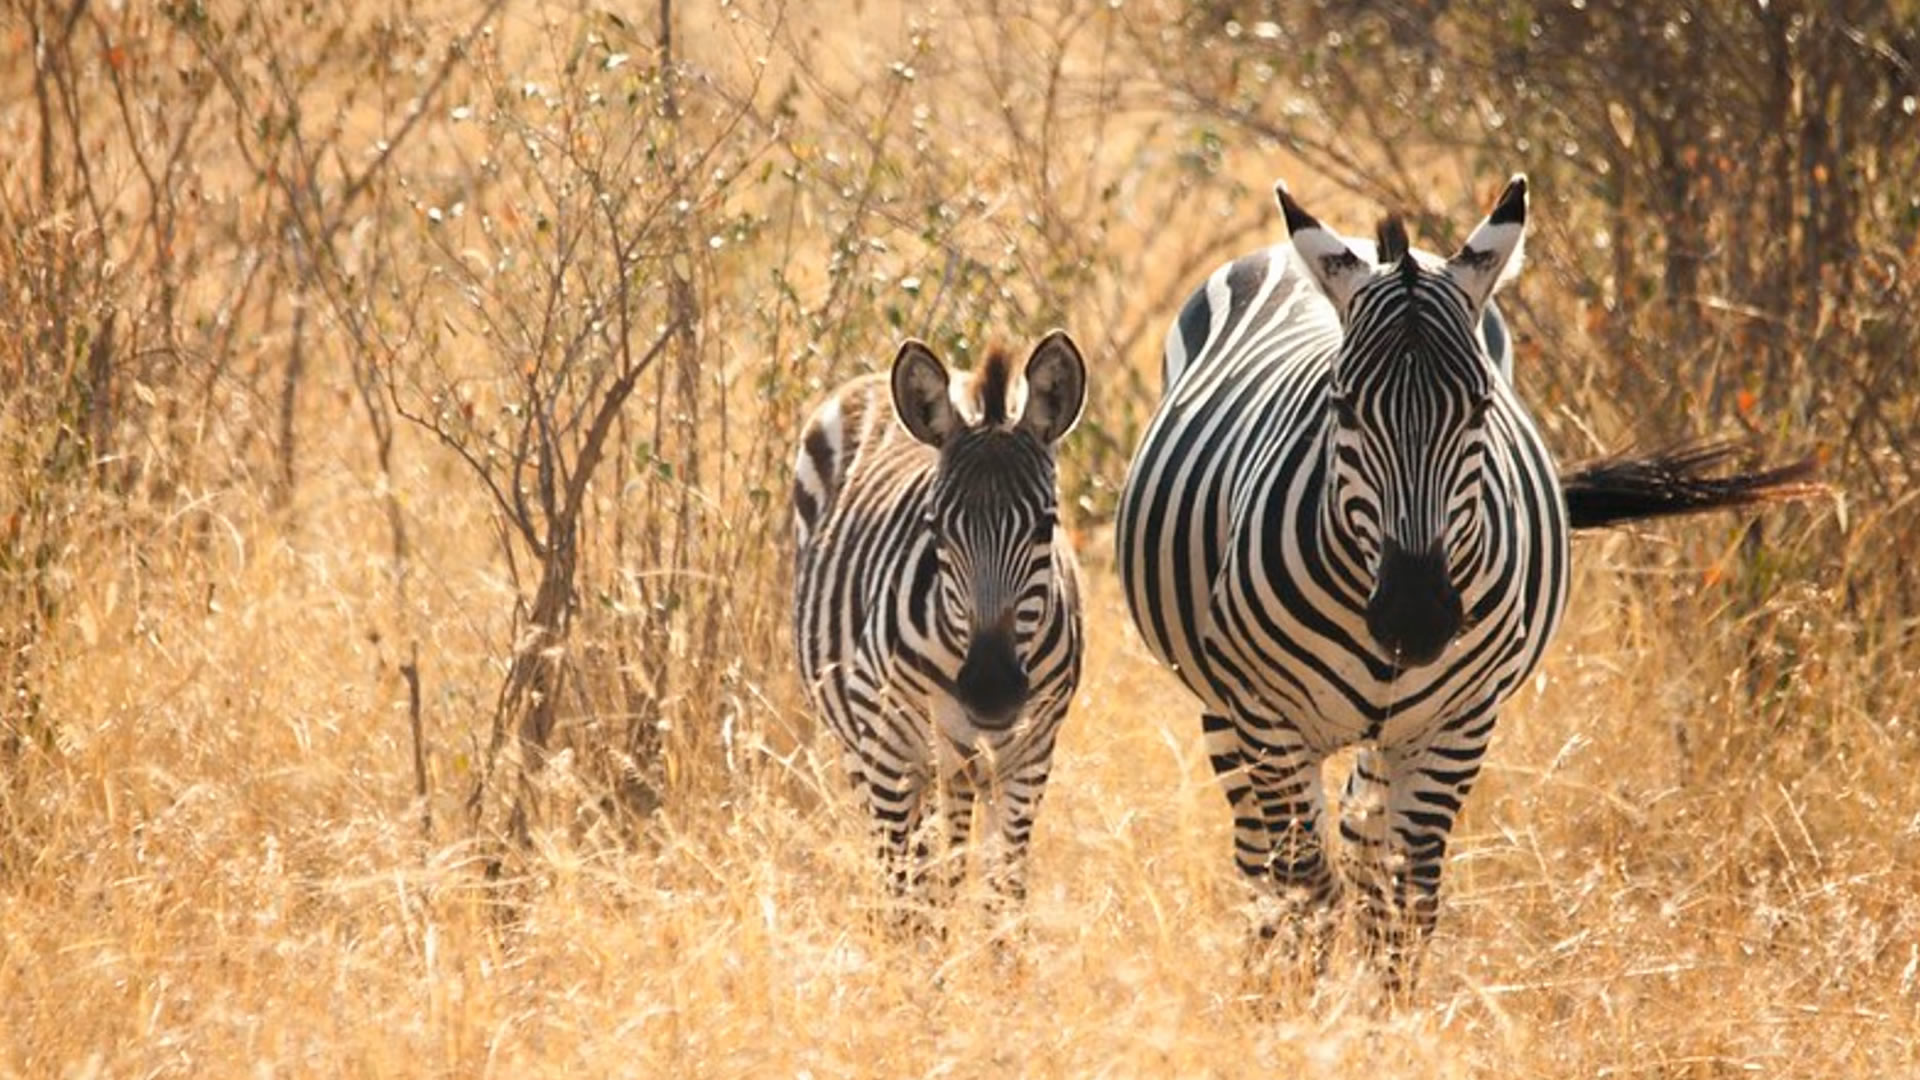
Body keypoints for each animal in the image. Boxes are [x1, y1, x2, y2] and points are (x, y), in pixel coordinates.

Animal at [792, 331, 1087, 917]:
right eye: (935, 527)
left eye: (1046, 526)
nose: (991, 691)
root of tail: (868, 383)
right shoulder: (890, 749)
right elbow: (912, 901)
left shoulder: (1029, 756)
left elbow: (1002, 900)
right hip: (871, 749)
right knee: (904, 870)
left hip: (955, 765)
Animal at [1115, 175, 1812, 985]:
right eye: (1342, 406)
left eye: (1480, 407)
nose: (1414, 619)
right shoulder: (1266, 716)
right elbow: (1304, 895)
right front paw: (1297, 1013)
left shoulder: (1459, 725)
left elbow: (1401, 903)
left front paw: (1385, 1019)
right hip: (1226, 710)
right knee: (1265, 866)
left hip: (1391, 734)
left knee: (1363, 852)